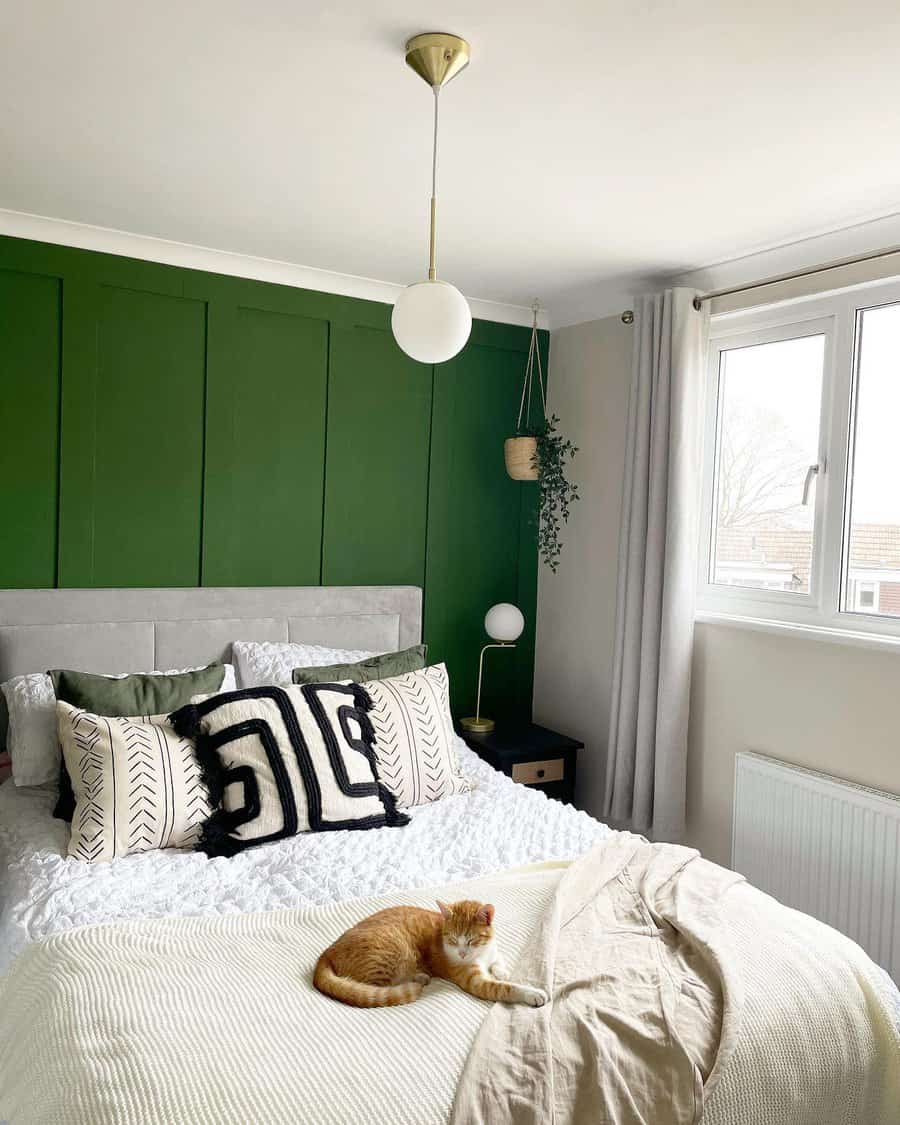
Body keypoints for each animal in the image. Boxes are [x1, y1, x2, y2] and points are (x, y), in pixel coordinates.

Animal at [312, 895, 551, 1012]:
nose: (462, 954)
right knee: (373, 988)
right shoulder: (475, 981)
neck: (480, 953)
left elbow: (498, 961)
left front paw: (502, 971)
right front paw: (532, 994)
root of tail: (328, 951)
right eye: (453, 940)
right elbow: (505, 988)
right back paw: (417, 978)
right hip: (391, 954)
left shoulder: (493, 950)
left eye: (471, 940)